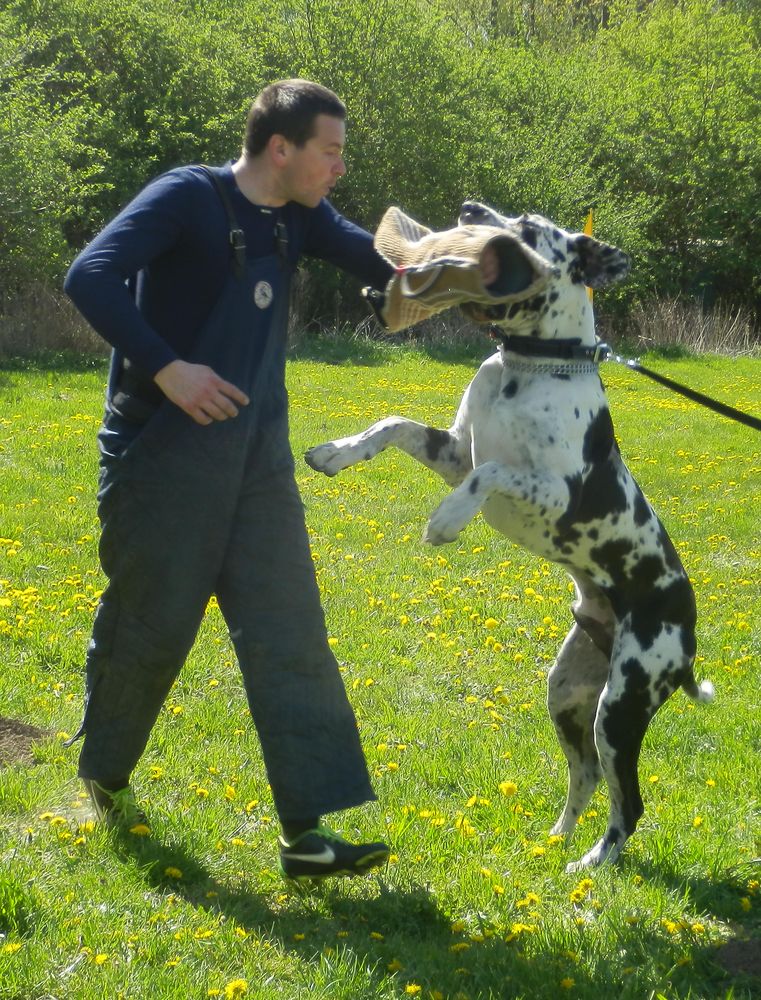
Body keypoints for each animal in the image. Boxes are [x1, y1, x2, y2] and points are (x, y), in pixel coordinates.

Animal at [305, 202, 713, 871]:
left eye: (526, 230)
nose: (471, 209)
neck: (528, 365)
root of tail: (688, 633)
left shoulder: (551, 489)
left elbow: (489, 473)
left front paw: (446, 520)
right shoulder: (452, 450)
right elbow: (394, 424)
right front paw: (337, 452)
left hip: (622, 705)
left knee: (629, 802)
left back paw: (592, 864)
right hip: (568, 695)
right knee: (586, 776)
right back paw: (557, 839)